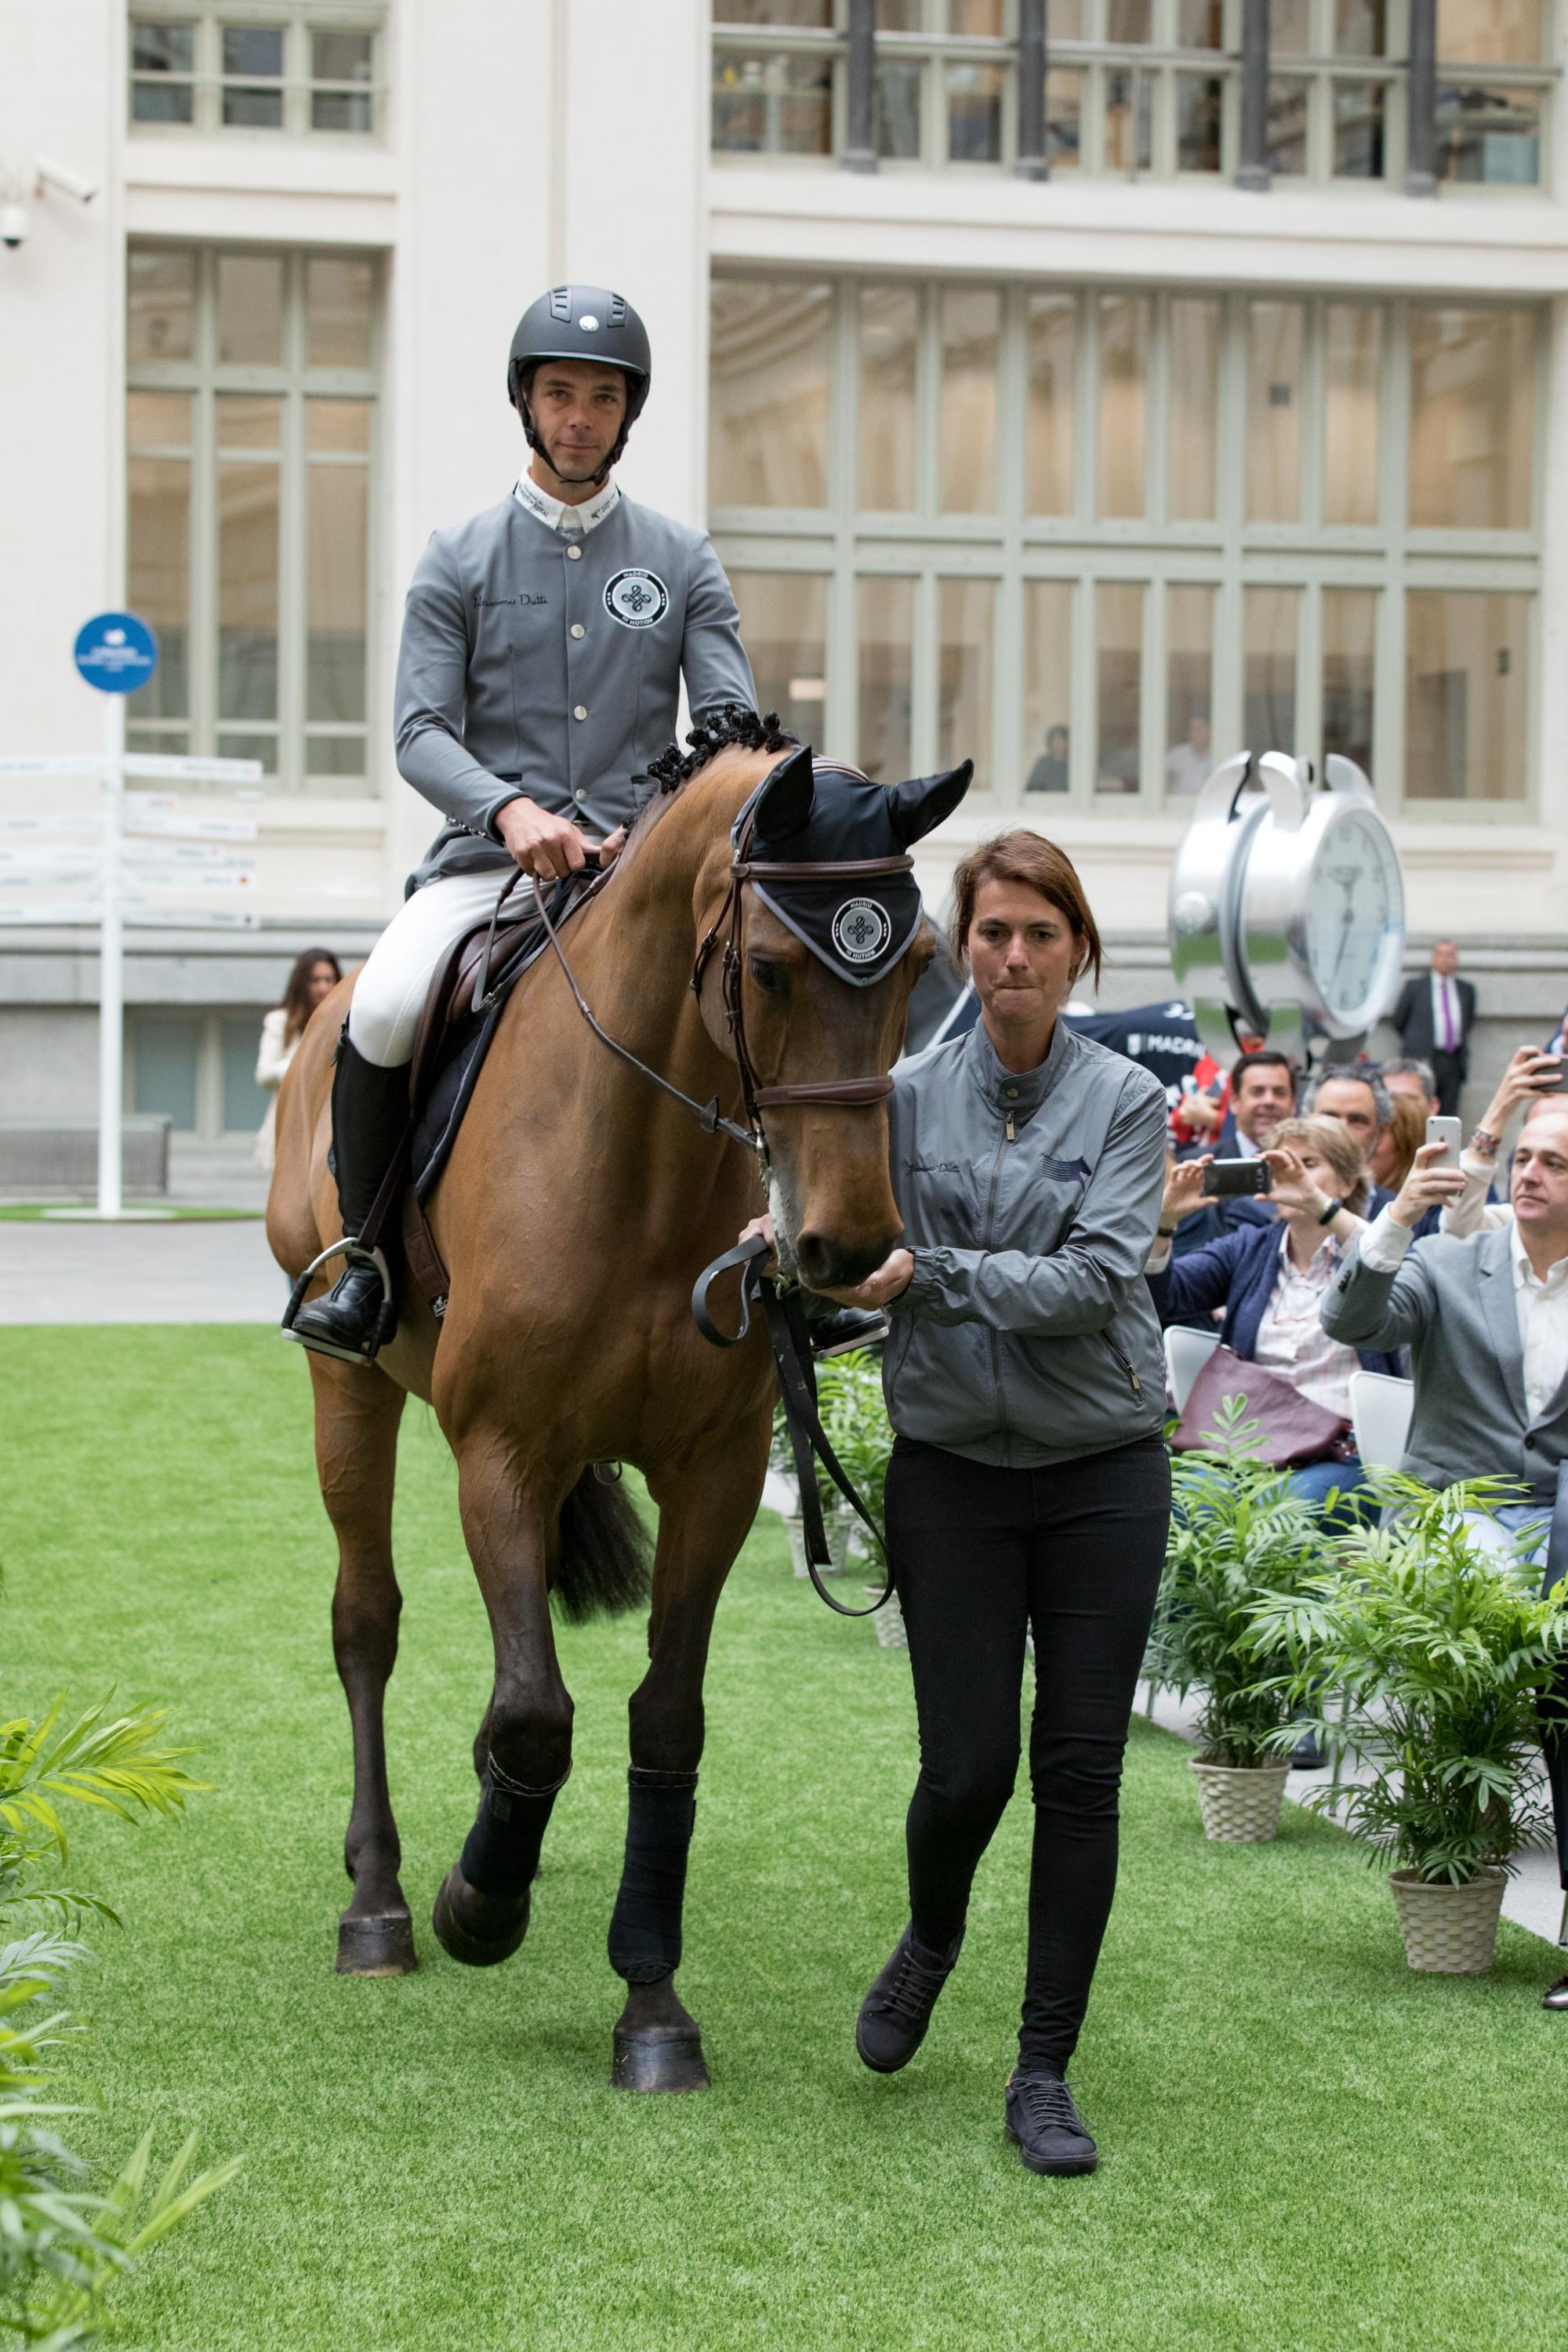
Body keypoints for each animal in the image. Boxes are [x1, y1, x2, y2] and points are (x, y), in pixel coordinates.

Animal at [270, 724, 968, 2089]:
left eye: (917, 965)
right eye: (766, 969)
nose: (849, 1251)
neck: (637, 1161)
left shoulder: (715, 1469)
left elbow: (664, 1721)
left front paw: (651, 2005)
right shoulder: (500, 1450)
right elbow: (540, 1712)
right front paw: (479, 1904)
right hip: (349, 1386)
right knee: (366, 1621)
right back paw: (381, 1900)